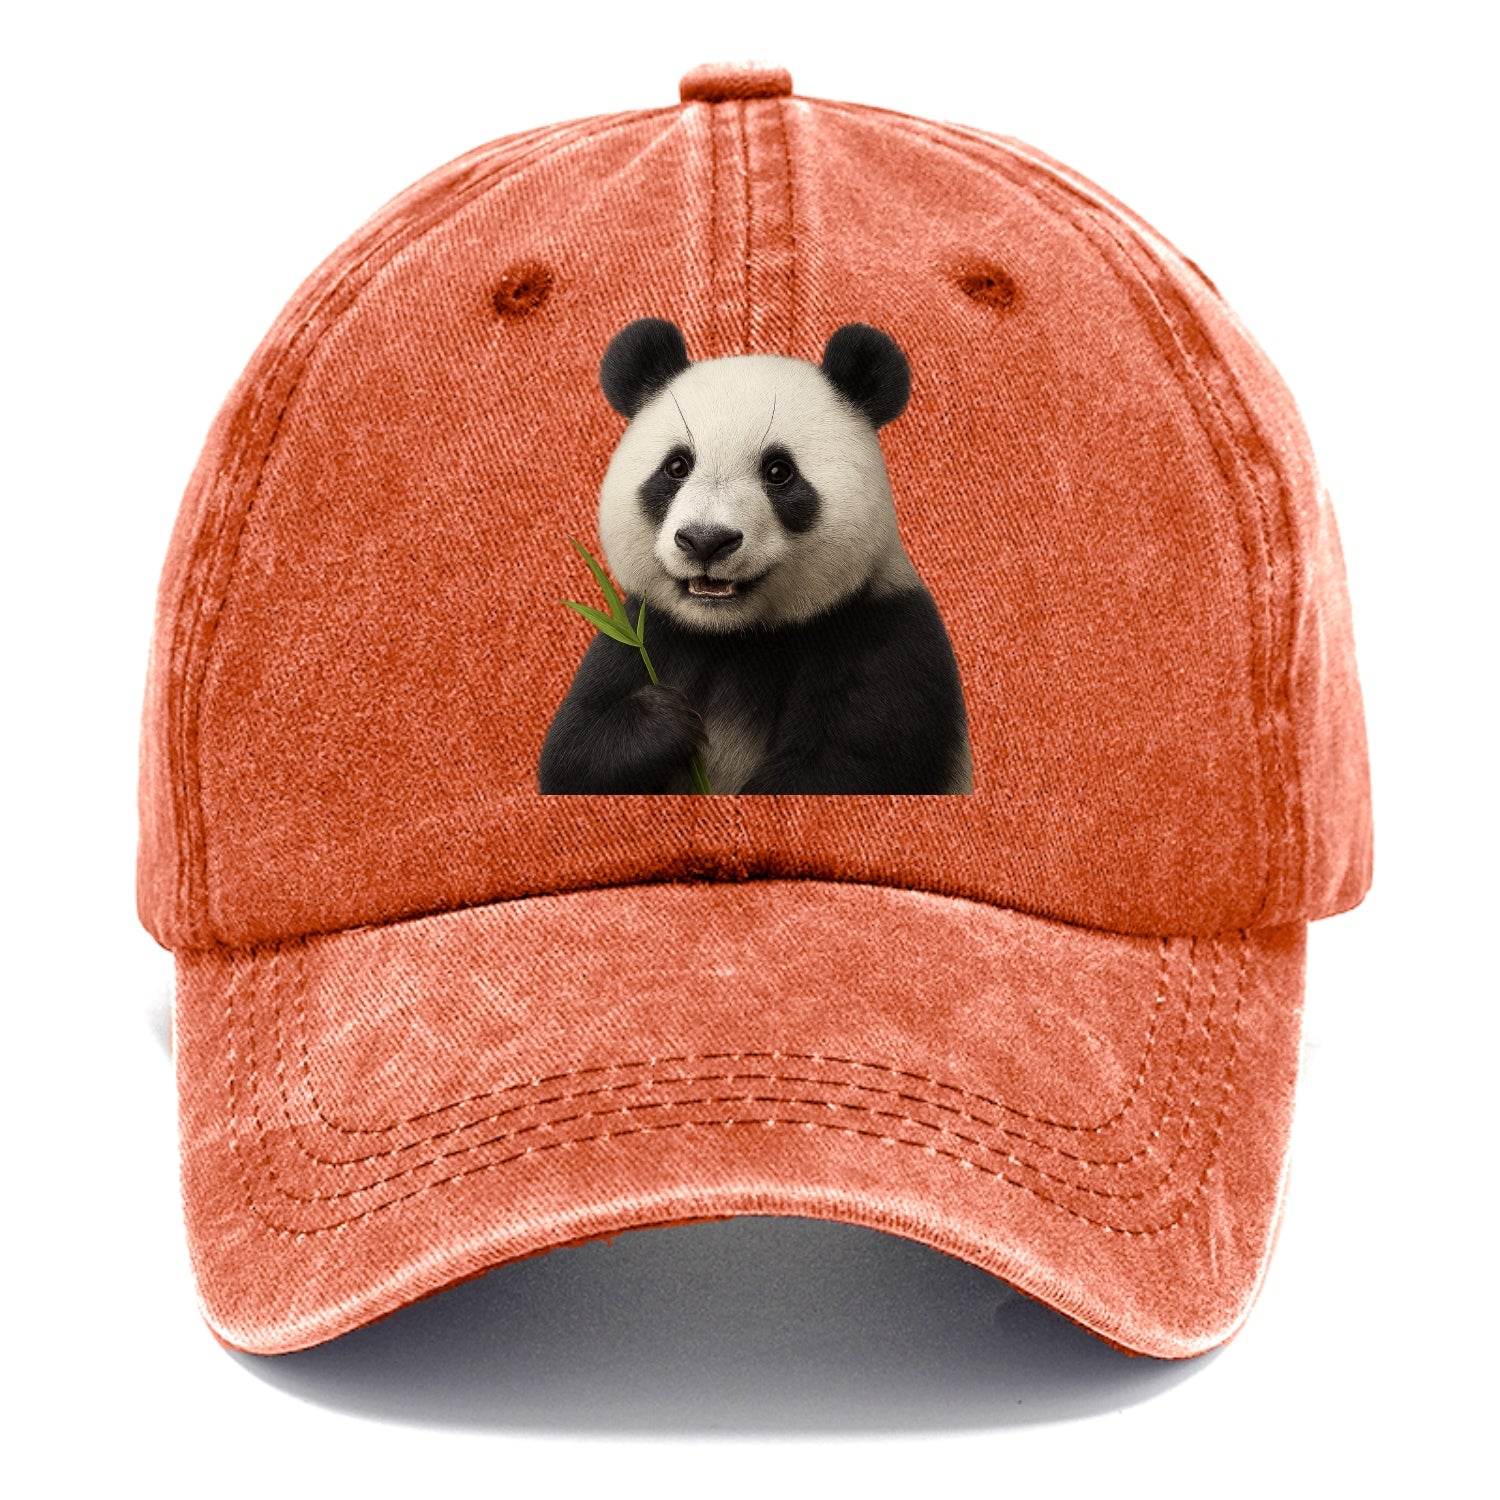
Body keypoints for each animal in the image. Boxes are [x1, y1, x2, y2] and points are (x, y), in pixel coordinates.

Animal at [537, 318, 974, 795]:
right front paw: (664, 720)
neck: (735, 636)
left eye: (779, 471)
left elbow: (838, 767)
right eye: (677, 466)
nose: (706, 541)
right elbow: (571, 752)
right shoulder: (644, 632)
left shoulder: (885, 638)